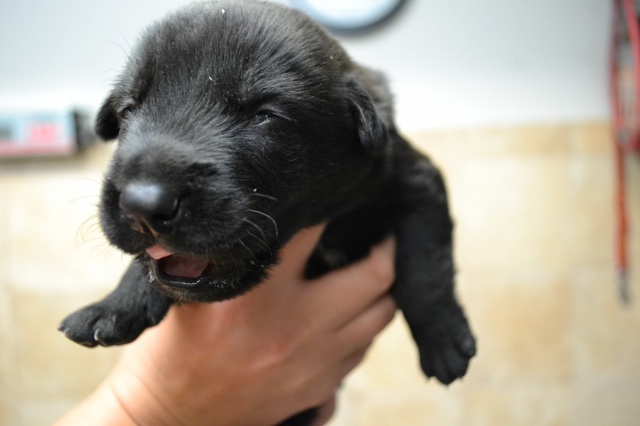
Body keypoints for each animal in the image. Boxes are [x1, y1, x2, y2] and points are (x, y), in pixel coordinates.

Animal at [60, 1, 476, 424]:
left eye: (263, 115)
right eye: (128, 110)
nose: (142, 205)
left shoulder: (415, 182)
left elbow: (425, 267)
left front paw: (442, 338)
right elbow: (145, 264)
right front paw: (112, 306)